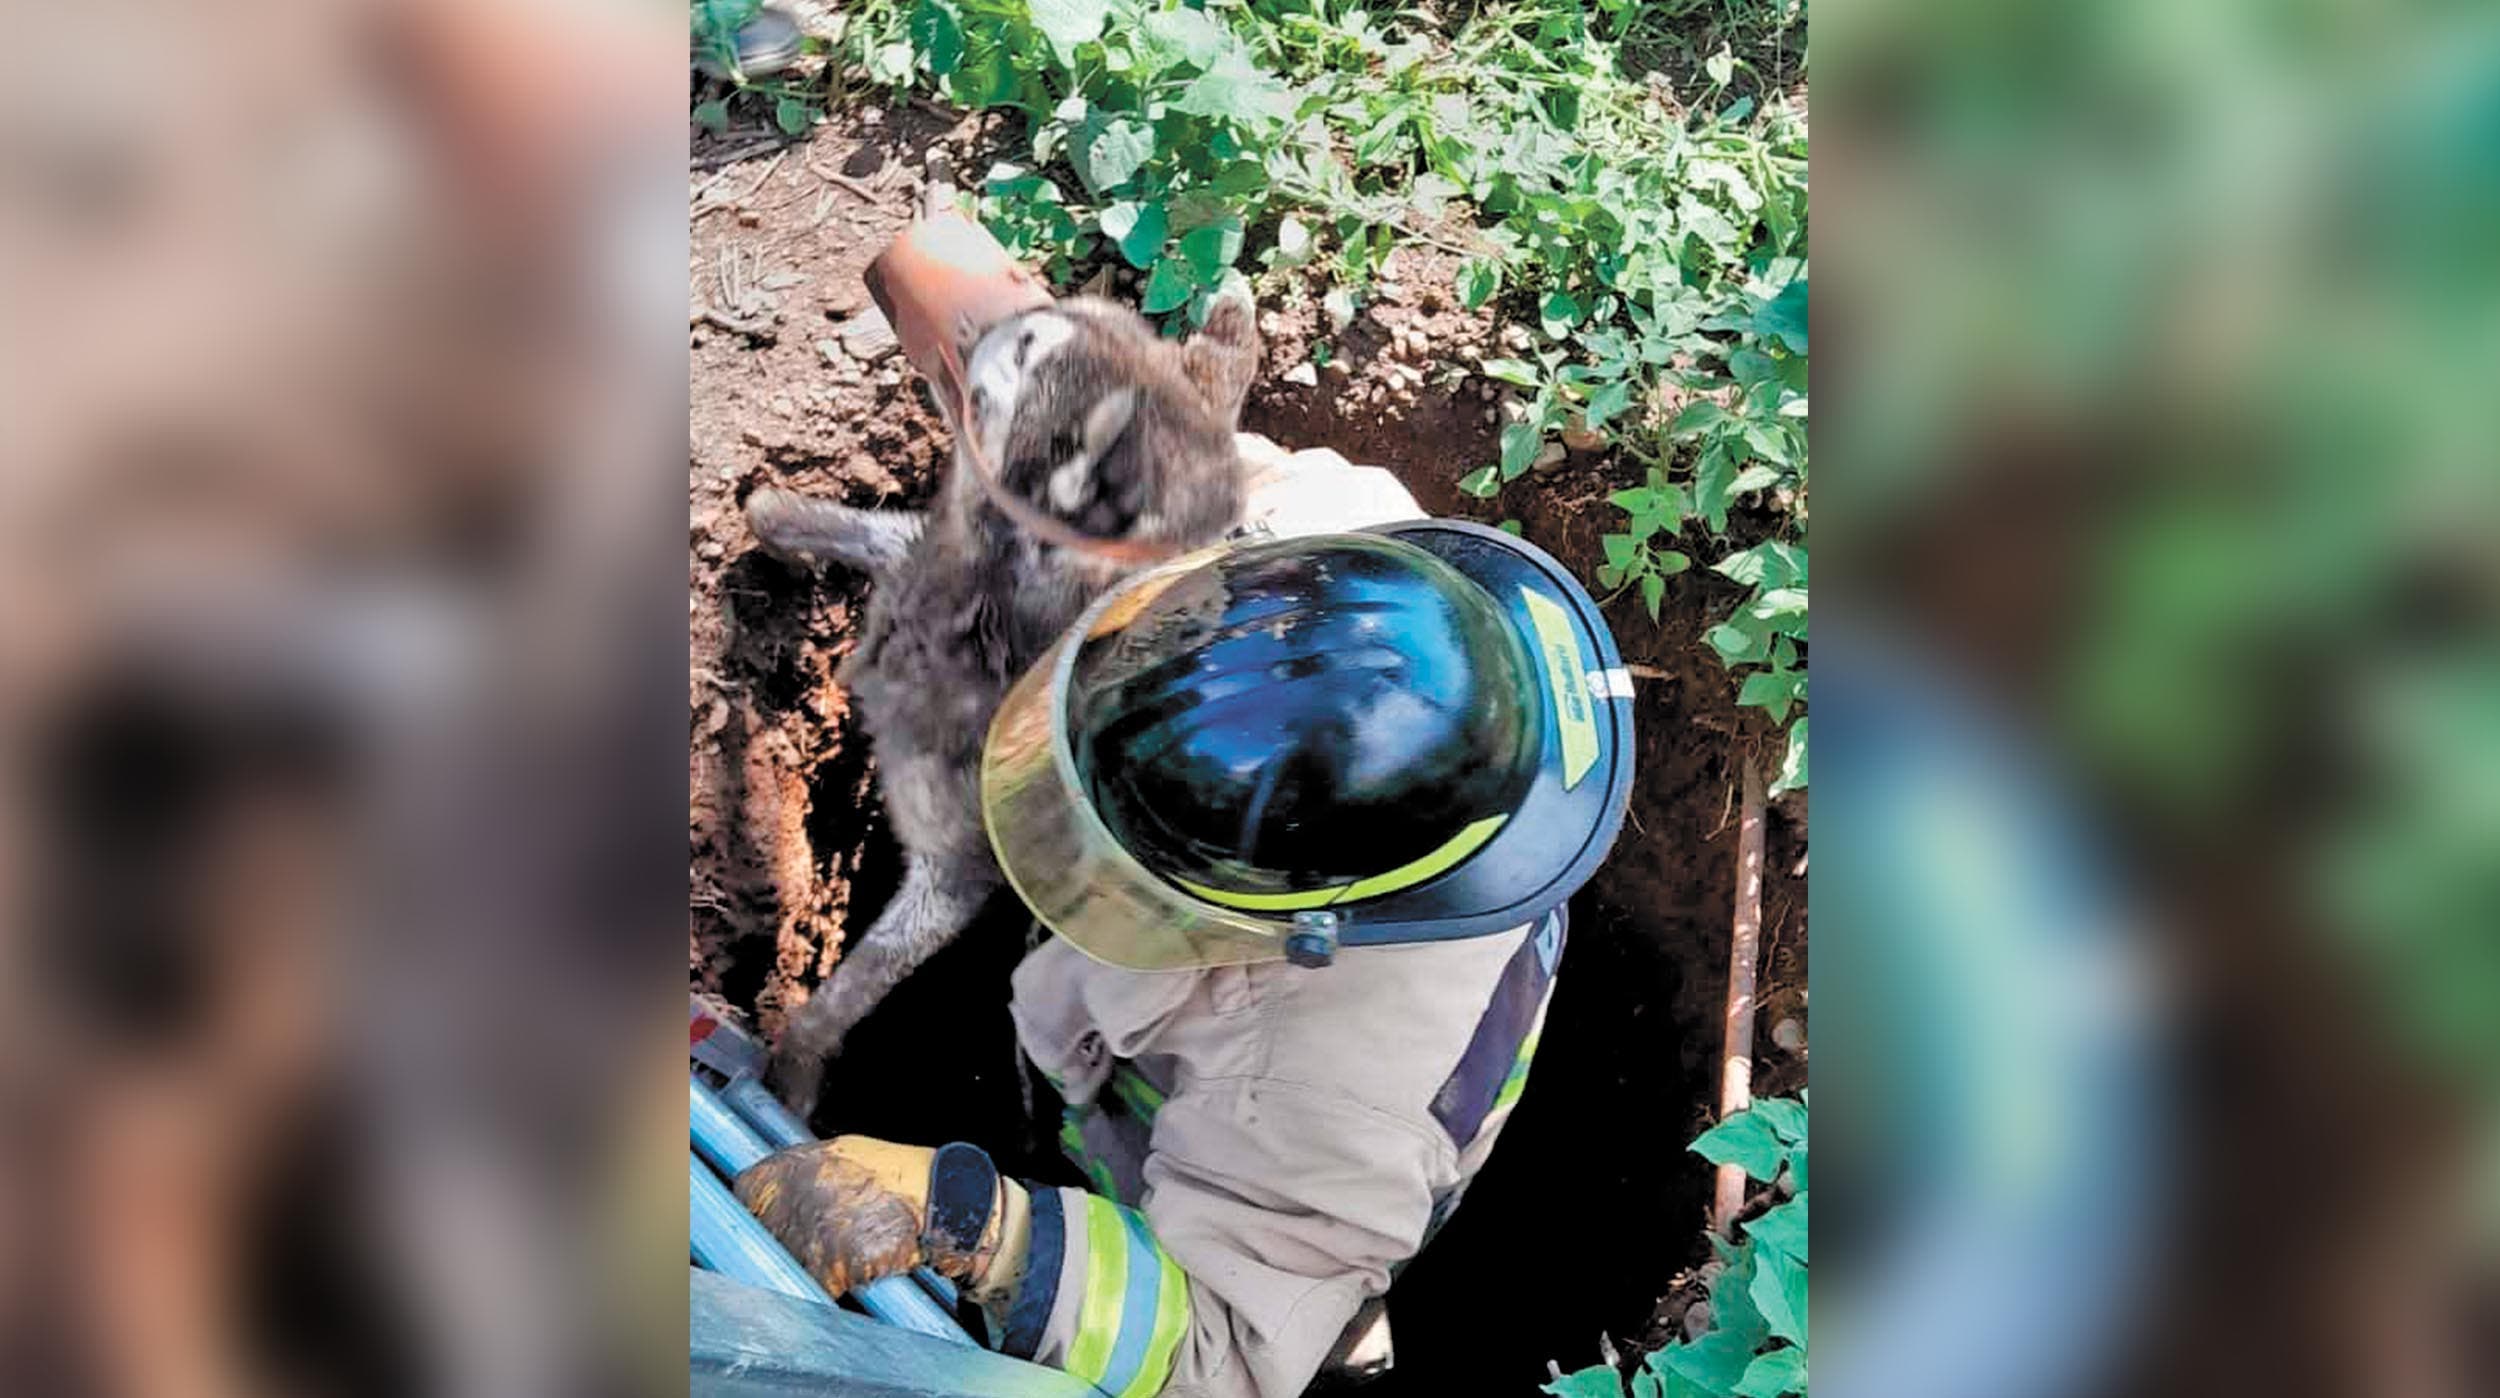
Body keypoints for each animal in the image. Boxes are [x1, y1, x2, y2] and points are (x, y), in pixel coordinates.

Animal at [746, 291, 1259, 1110]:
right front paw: (770, 519)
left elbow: (852, 988)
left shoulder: (954, 871)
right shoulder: (908, 552)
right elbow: (828, 522)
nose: (974, 320)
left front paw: (791, 1069)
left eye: (1025, 349)